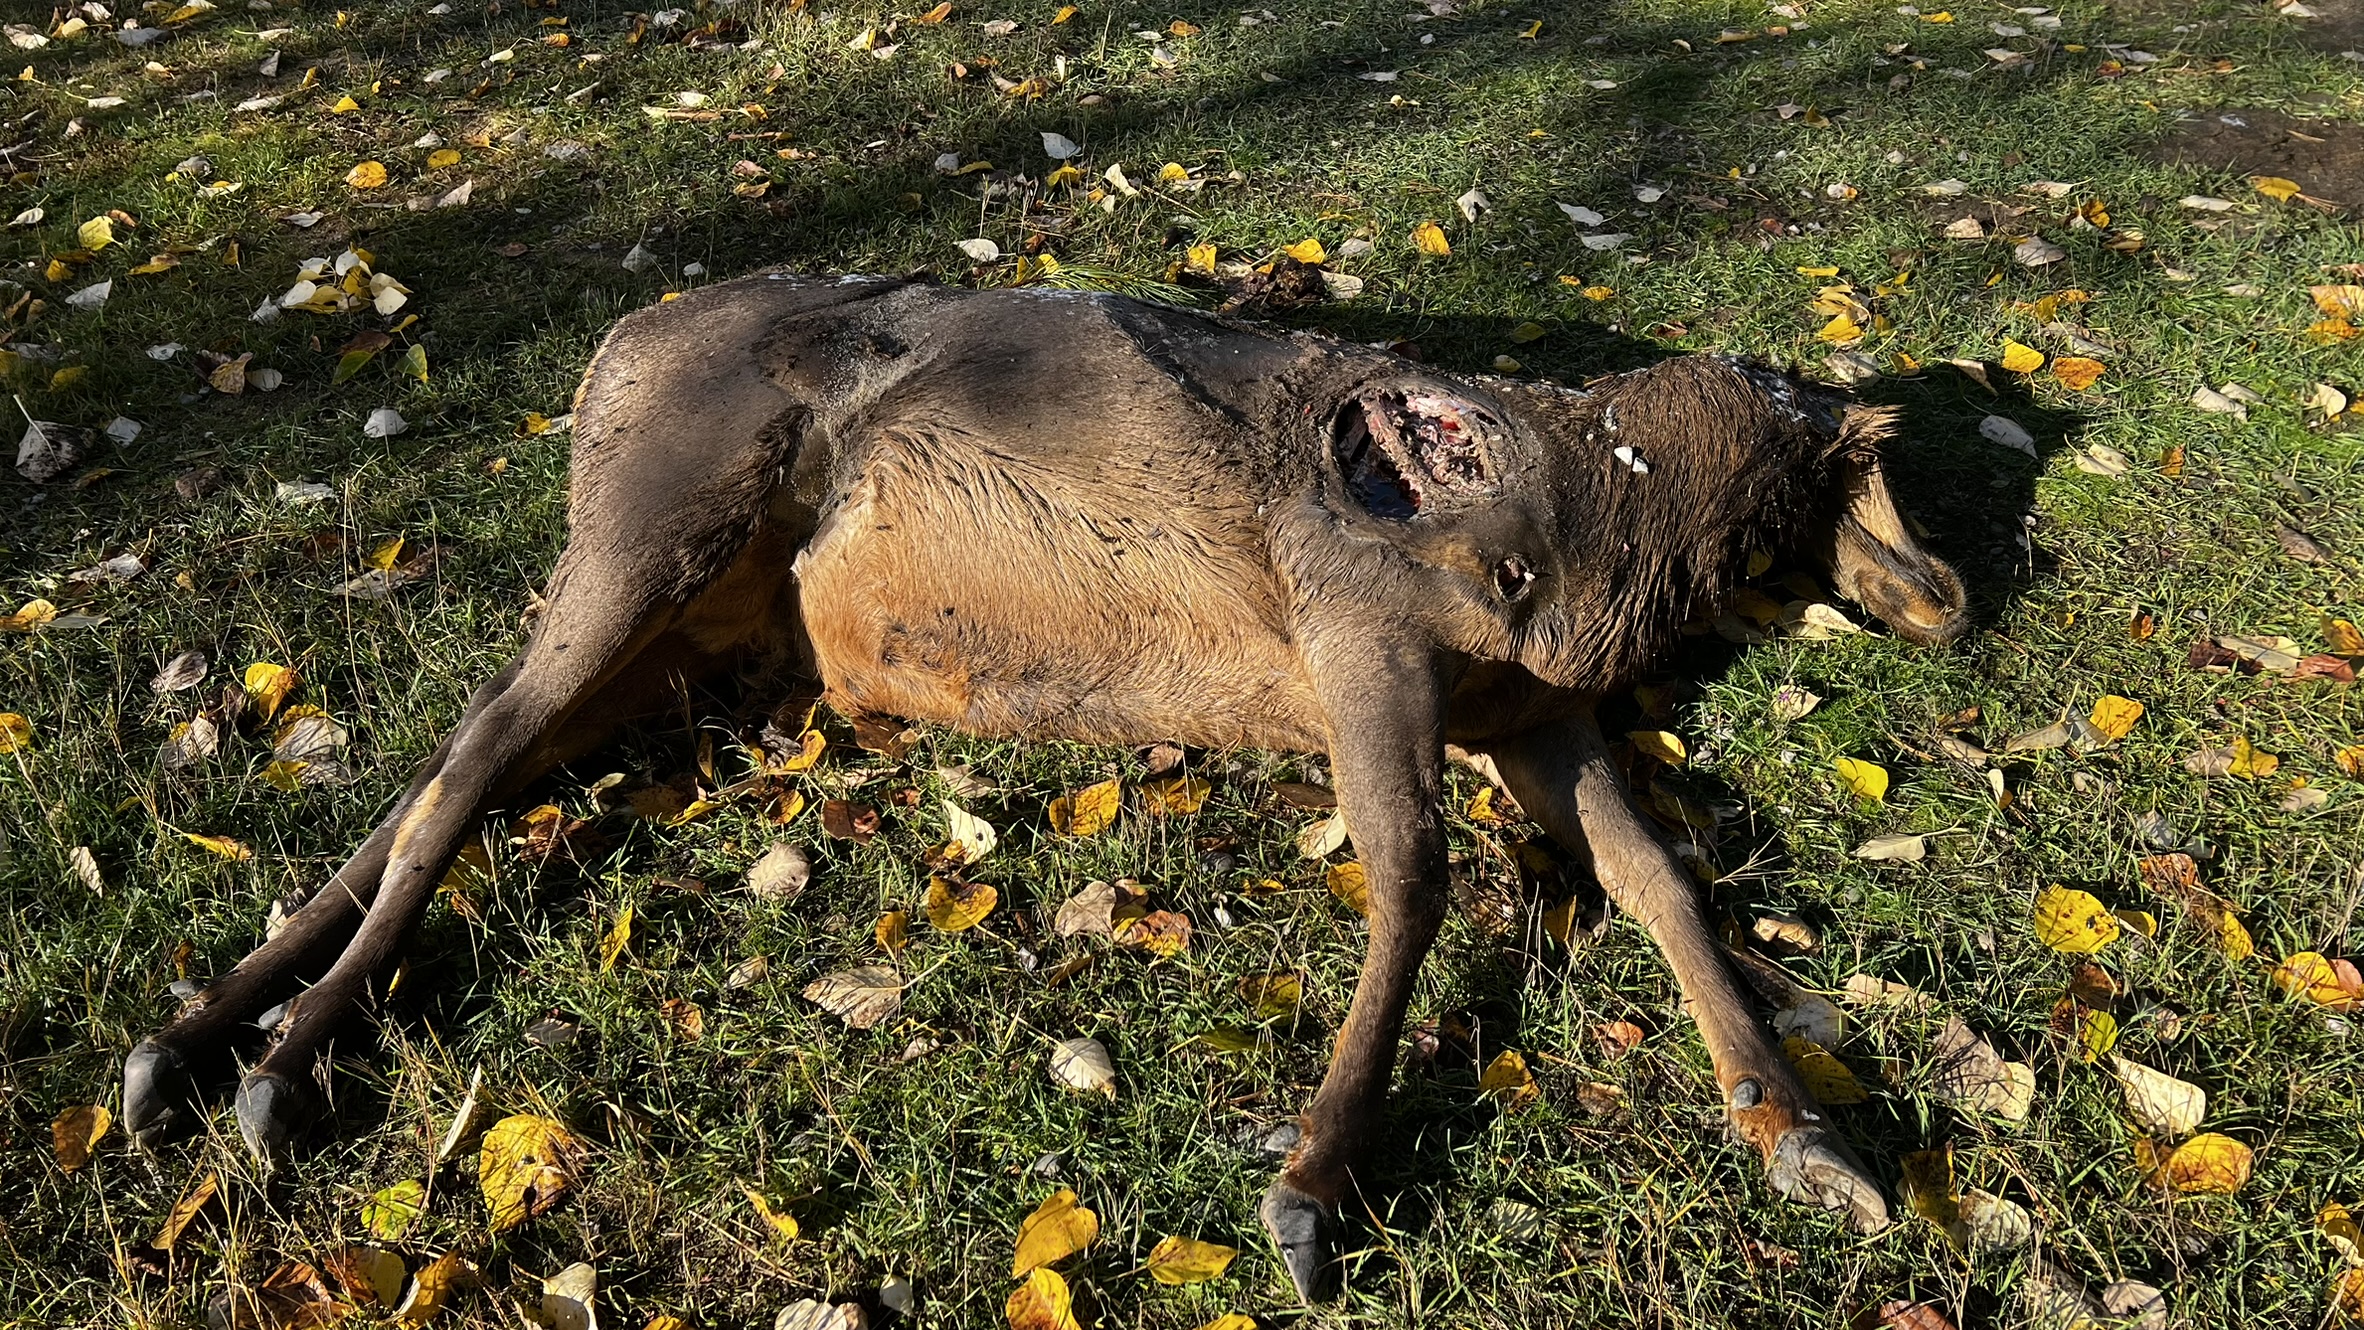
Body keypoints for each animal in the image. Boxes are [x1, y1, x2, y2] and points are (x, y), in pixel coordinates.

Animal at [122, 272, 1969, 1302]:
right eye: (1850, 463)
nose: (1949, 594)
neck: (1595, 546)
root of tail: (606, 356)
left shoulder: (1531, 707)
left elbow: (1655, 874)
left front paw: (1811, 1136)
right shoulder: (1354, 613)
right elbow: (1413, 865)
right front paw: (1310, 1187)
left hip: (707, 639)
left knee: (467, 754)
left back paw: (192, 1042)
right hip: (656, 514)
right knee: (470, 754)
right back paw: (271, 1067)